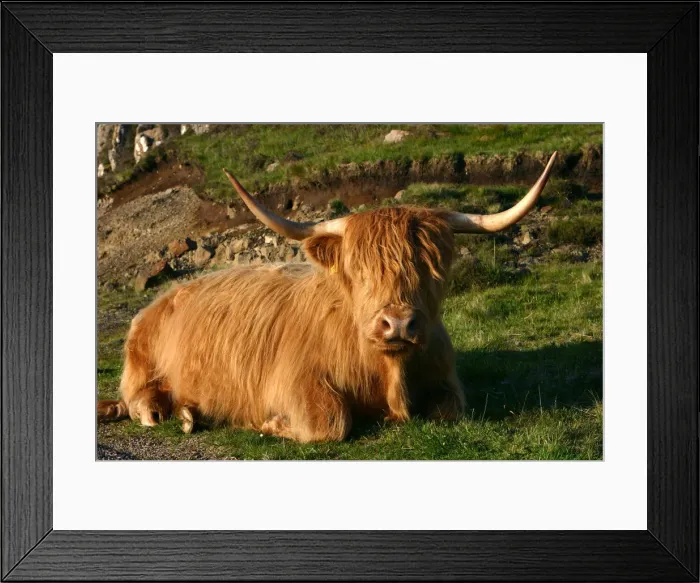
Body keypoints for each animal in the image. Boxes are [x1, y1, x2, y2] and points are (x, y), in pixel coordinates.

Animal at [98, 152, 558, 442]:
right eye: (359, 269)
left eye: (431, 267)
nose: (398, 323)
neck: (388, 373)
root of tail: (159, 300)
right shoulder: (294, 382)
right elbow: (331, 422)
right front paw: (270, 425)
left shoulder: (446, 378)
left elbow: (450, 409)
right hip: (141, 368)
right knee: (141, 404)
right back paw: (175, 413)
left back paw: (191, 412)